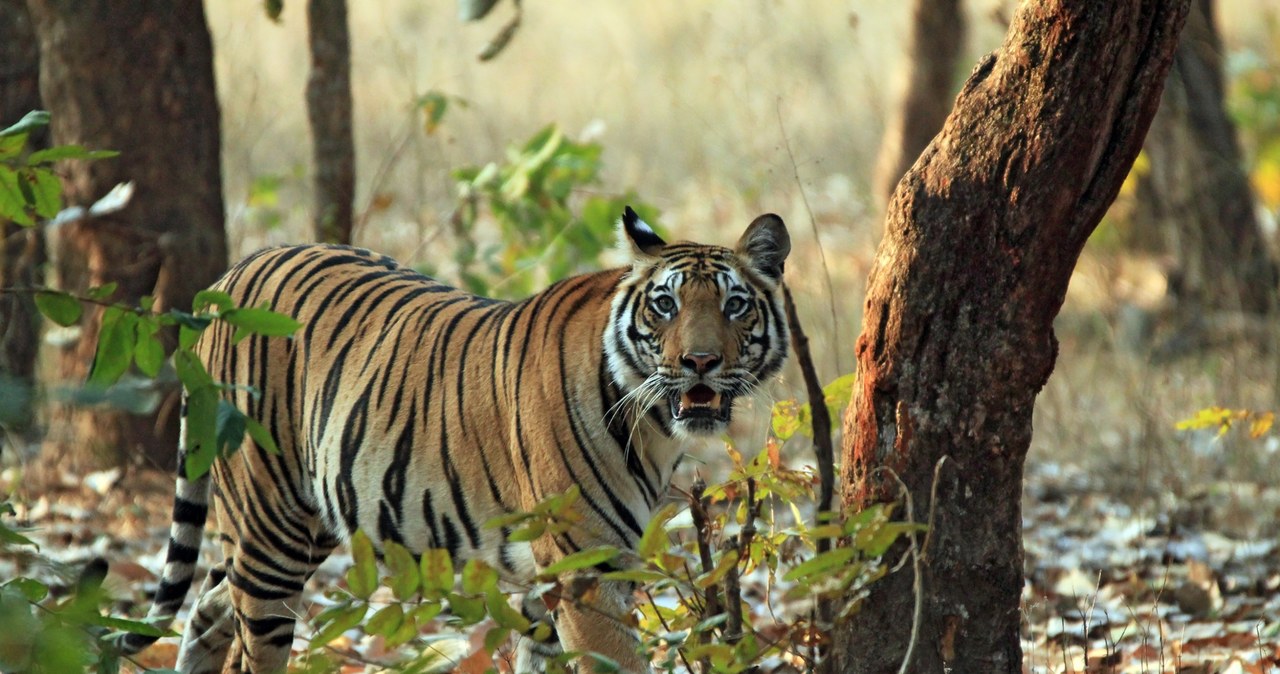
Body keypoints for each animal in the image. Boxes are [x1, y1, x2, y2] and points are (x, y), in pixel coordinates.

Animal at [120, 208, 793, 670]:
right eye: (664, 305)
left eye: (735, 306)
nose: (700, 362)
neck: (654, 431)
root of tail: (231, 275)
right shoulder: (586, 570)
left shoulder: (555, 583)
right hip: (271, 526)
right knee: (248, 633)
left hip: (303, 520)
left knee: (211, 602)